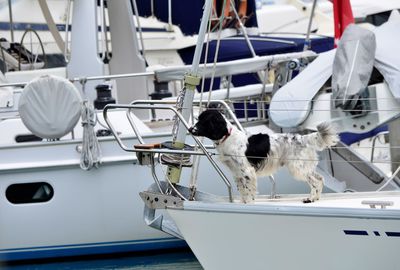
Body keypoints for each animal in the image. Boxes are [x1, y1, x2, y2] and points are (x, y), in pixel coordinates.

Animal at [189, 108, 340, 204]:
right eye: (197, 119)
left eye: (204, 121)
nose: (190, 129)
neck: (228, 137)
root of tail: (303, 138)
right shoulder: (237, 172)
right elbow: (242, 190)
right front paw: (243, 203)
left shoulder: (247, 171)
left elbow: (249, 190)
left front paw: (249, 203)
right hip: (304, 166)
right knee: (320, 178)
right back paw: (316, 198)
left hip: (297, 167)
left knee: (315, 182)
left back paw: (311, 199)